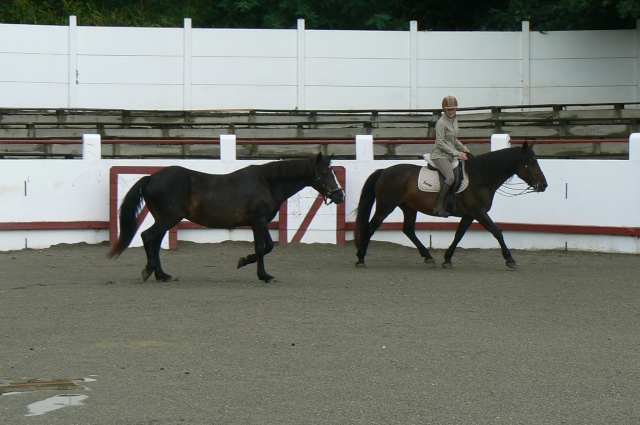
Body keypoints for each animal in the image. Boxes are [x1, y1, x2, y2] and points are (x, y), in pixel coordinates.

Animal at [109, 153, 344, 282]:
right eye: (324, 173)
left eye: (333, 172)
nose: (339, 195)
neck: (267, 183)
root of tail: (151, 178)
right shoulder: (258, 221)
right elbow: (264, 248)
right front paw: (263, 274)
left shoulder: (258, 223)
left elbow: (265, 247)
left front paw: (247, 263)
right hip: (168, 219)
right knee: (148, 238)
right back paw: (152, 272)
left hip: (164, 219)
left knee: (154, 242)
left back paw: (160, 274)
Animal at [352, 142, 548, 268]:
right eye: (531, 162)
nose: (544, 185)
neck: (480, 177)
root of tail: (384, 170)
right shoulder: (479, 212)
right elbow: (497, 232)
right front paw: (510, 259)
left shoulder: (470, 214)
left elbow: (459, 235)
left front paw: (447, 259)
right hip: (386, 206)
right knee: (370, 227)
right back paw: (360, 258)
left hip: (408, 207)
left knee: (408, 230)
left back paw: (428, 257)